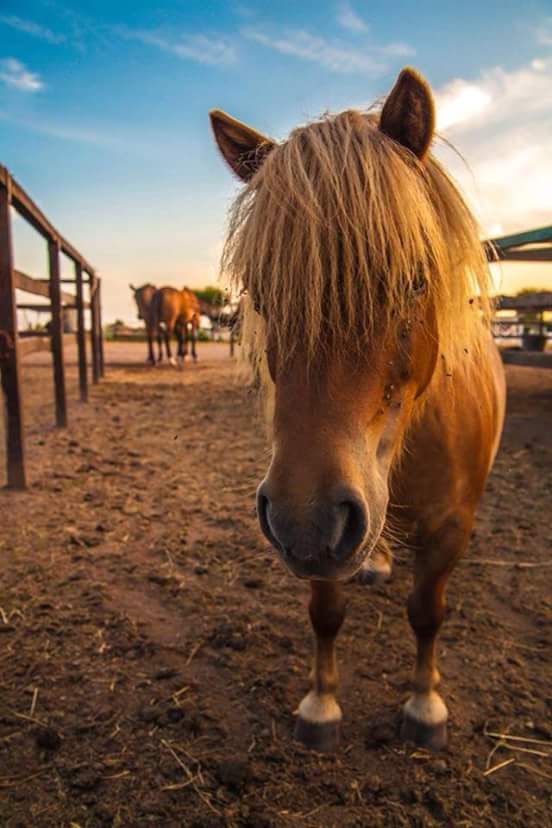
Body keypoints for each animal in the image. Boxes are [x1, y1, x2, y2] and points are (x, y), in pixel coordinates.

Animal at [210, 67, 506, 753]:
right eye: (260, 292)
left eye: (414, 280)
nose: (307, 516)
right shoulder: (317, 525)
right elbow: (325, 612)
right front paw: (321, 703)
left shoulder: (449, 528)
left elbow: (427, 613)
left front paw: (425, 704)